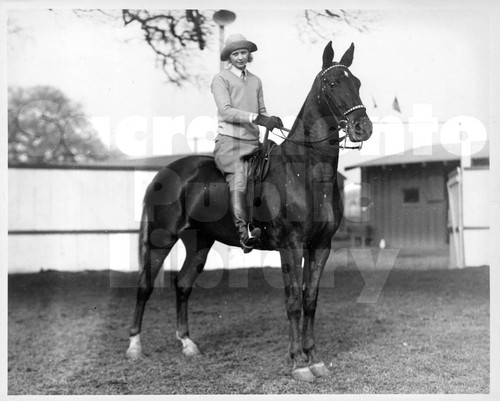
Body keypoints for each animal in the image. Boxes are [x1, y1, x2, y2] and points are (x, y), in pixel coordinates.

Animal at [127, 42, 374, 380]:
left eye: (358, 83)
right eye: (333, 83)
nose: (363, 128)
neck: (306, 171)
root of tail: (163, 174)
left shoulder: (321, 246)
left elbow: (310, 300)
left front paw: (315, 358)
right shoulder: (291, 246)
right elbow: (293, 301)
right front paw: (298, 362)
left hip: (199, 243)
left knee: (183, 285)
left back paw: (188, 344)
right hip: (160, 239)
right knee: (144, 286)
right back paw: (134, 346)